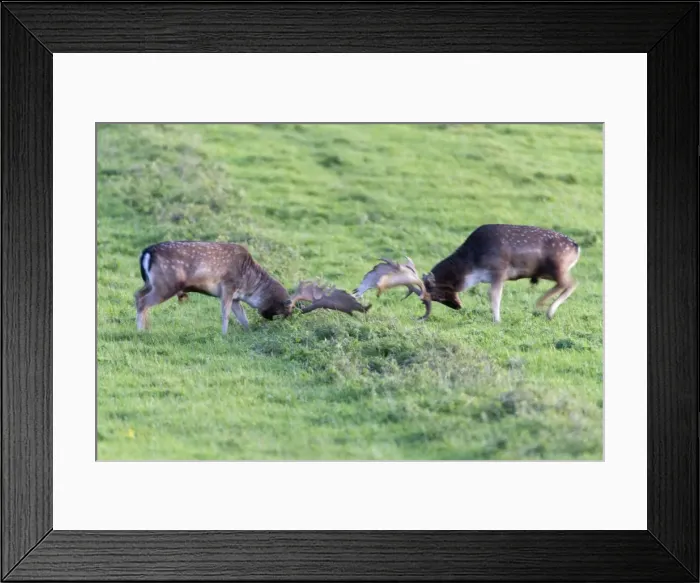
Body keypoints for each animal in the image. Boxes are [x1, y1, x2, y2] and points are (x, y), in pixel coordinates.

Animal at [134, 242, 371, 333]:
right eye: (287, 309)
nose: (285, 320)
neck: (249, 284)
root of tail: (146, 252)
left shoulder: (236, 297)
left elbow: (242, 317)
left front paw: (247, 331)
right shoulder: (228, 287)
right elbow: (225, 314)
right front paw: (224, 334)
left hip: (151, 283)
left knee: (137, 295)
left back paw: (144, 328)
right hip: (166, 284)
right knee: (143, 301)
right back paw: (141, 331)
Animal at [399, 224, 581, 322]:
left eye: (436, 295)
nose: (458, 306)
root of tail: (577, 248)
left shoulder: (499, 271)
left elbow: (494, 295)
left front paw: (497, 320)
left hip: (557, 267)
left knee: (570, 283)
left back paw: (545, 308)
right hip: (551, 272)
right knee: (568, 284)